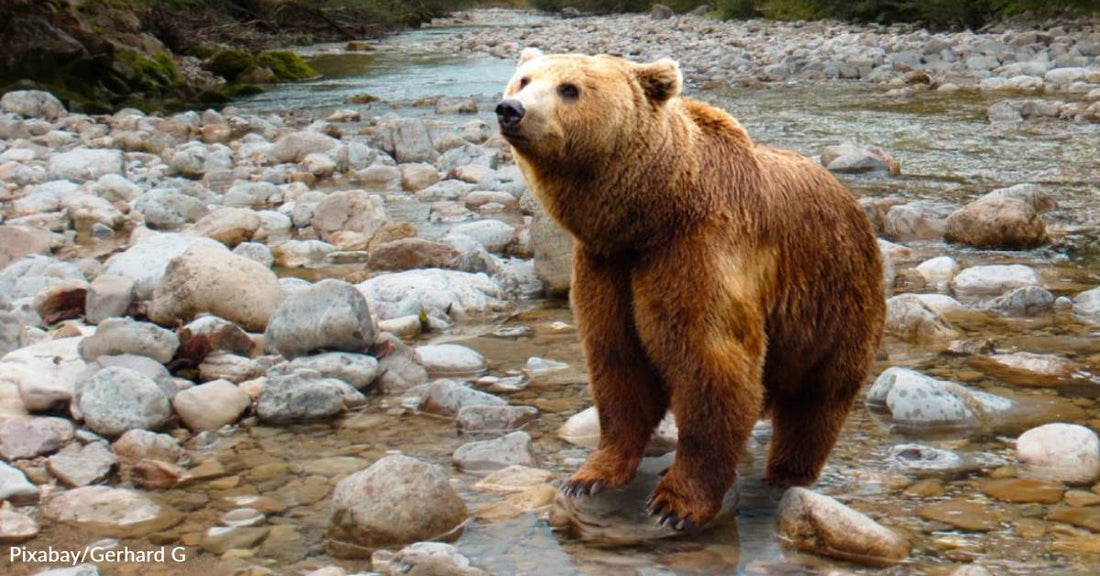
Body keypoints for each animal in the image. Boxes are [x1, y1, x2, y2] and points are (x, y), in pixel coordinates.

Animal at [496, 48, 886, 531]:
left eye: (570, 88)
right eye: (524, 80)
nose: (511, 109)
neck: (649, 214)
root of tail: (853, 202)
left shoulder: (697, 251)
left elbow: (710, 365)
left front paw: (674, 503)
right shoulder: (607, 267)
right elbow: (617, 364)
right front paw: (590, 476)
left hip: (834, 299)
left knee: (817, 400)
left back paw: (786, 471)